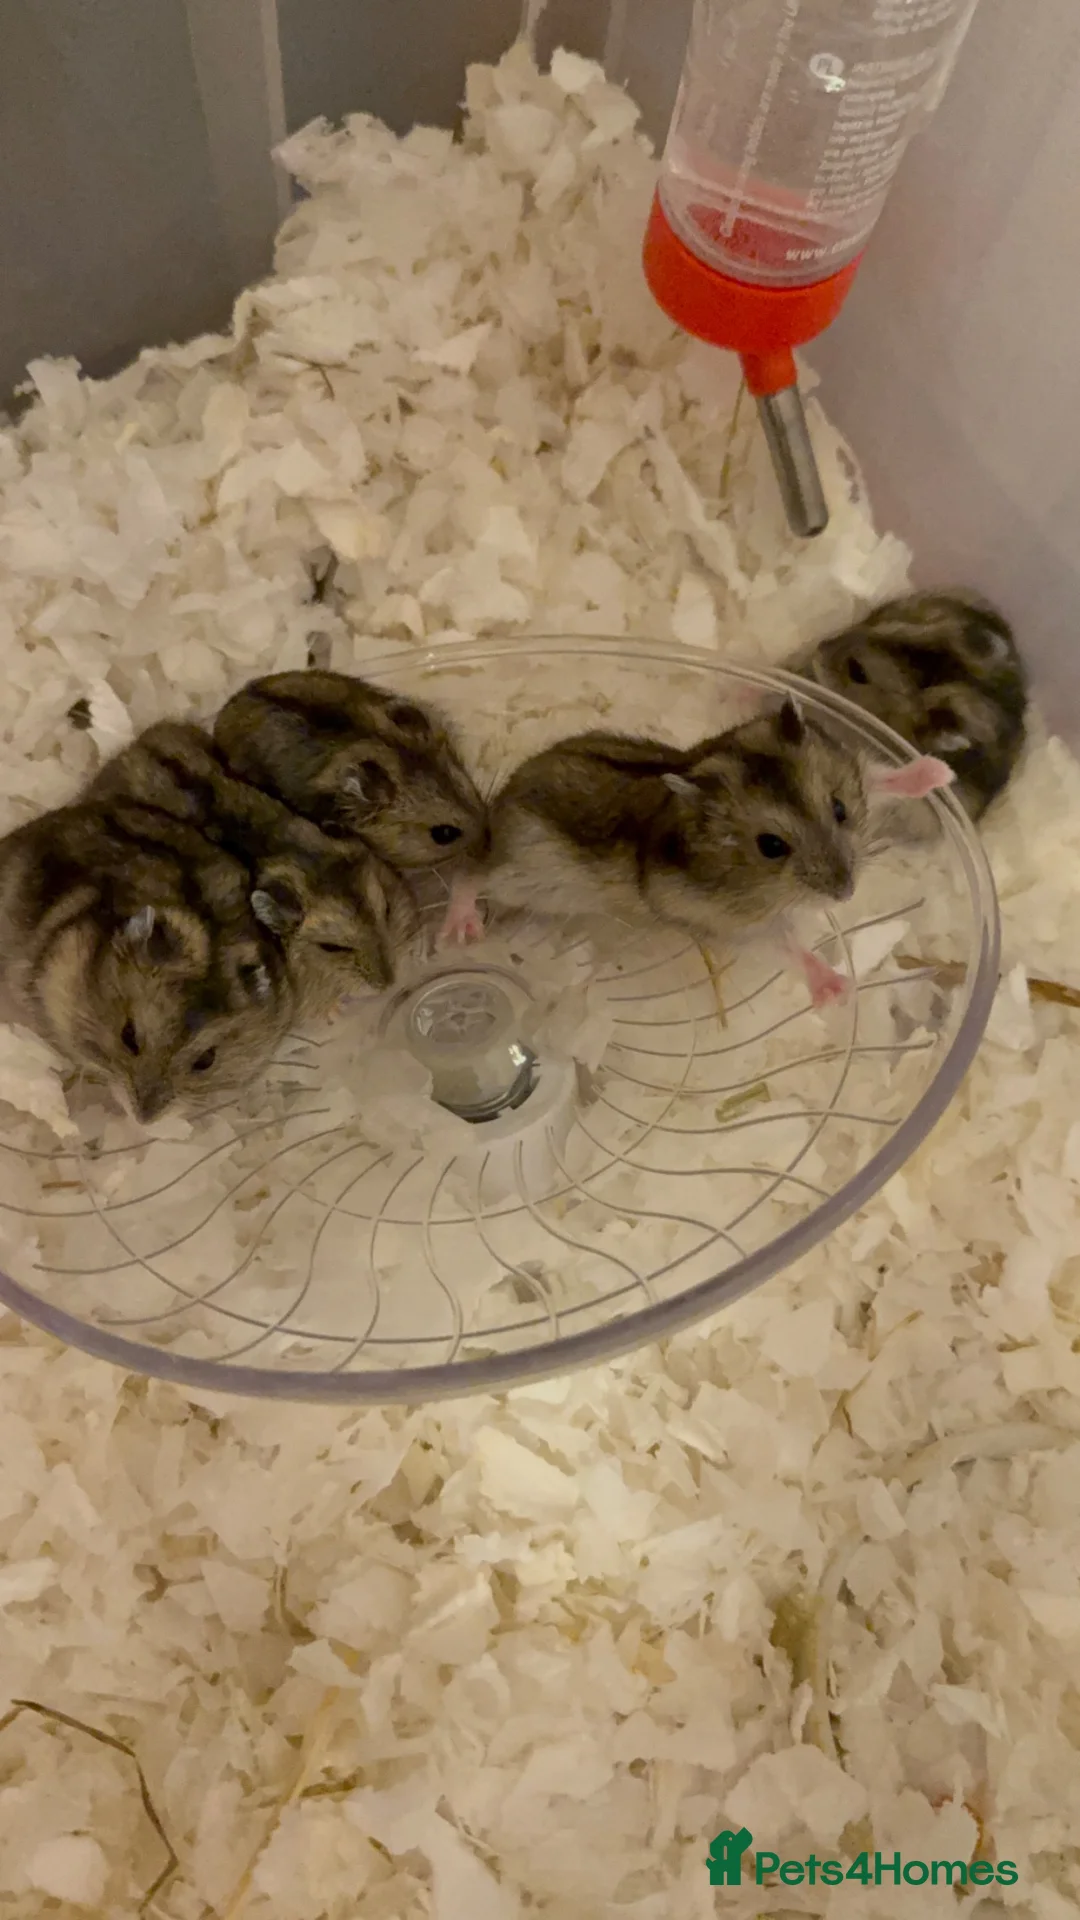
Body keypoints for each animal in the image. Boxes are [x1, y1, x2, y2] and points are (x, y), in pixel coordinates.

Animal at [442, 698, 952, 1005]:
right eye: (771, 846)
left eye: (841, 808)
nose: (846, 893)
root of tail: (500, 801)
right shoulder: (731, 924)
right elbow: (788, 944)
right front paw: (837, 990)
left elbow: (878, 776)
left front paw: (938, 772)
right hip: (524, 872)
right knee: (472, 873)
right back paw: (460, 930)